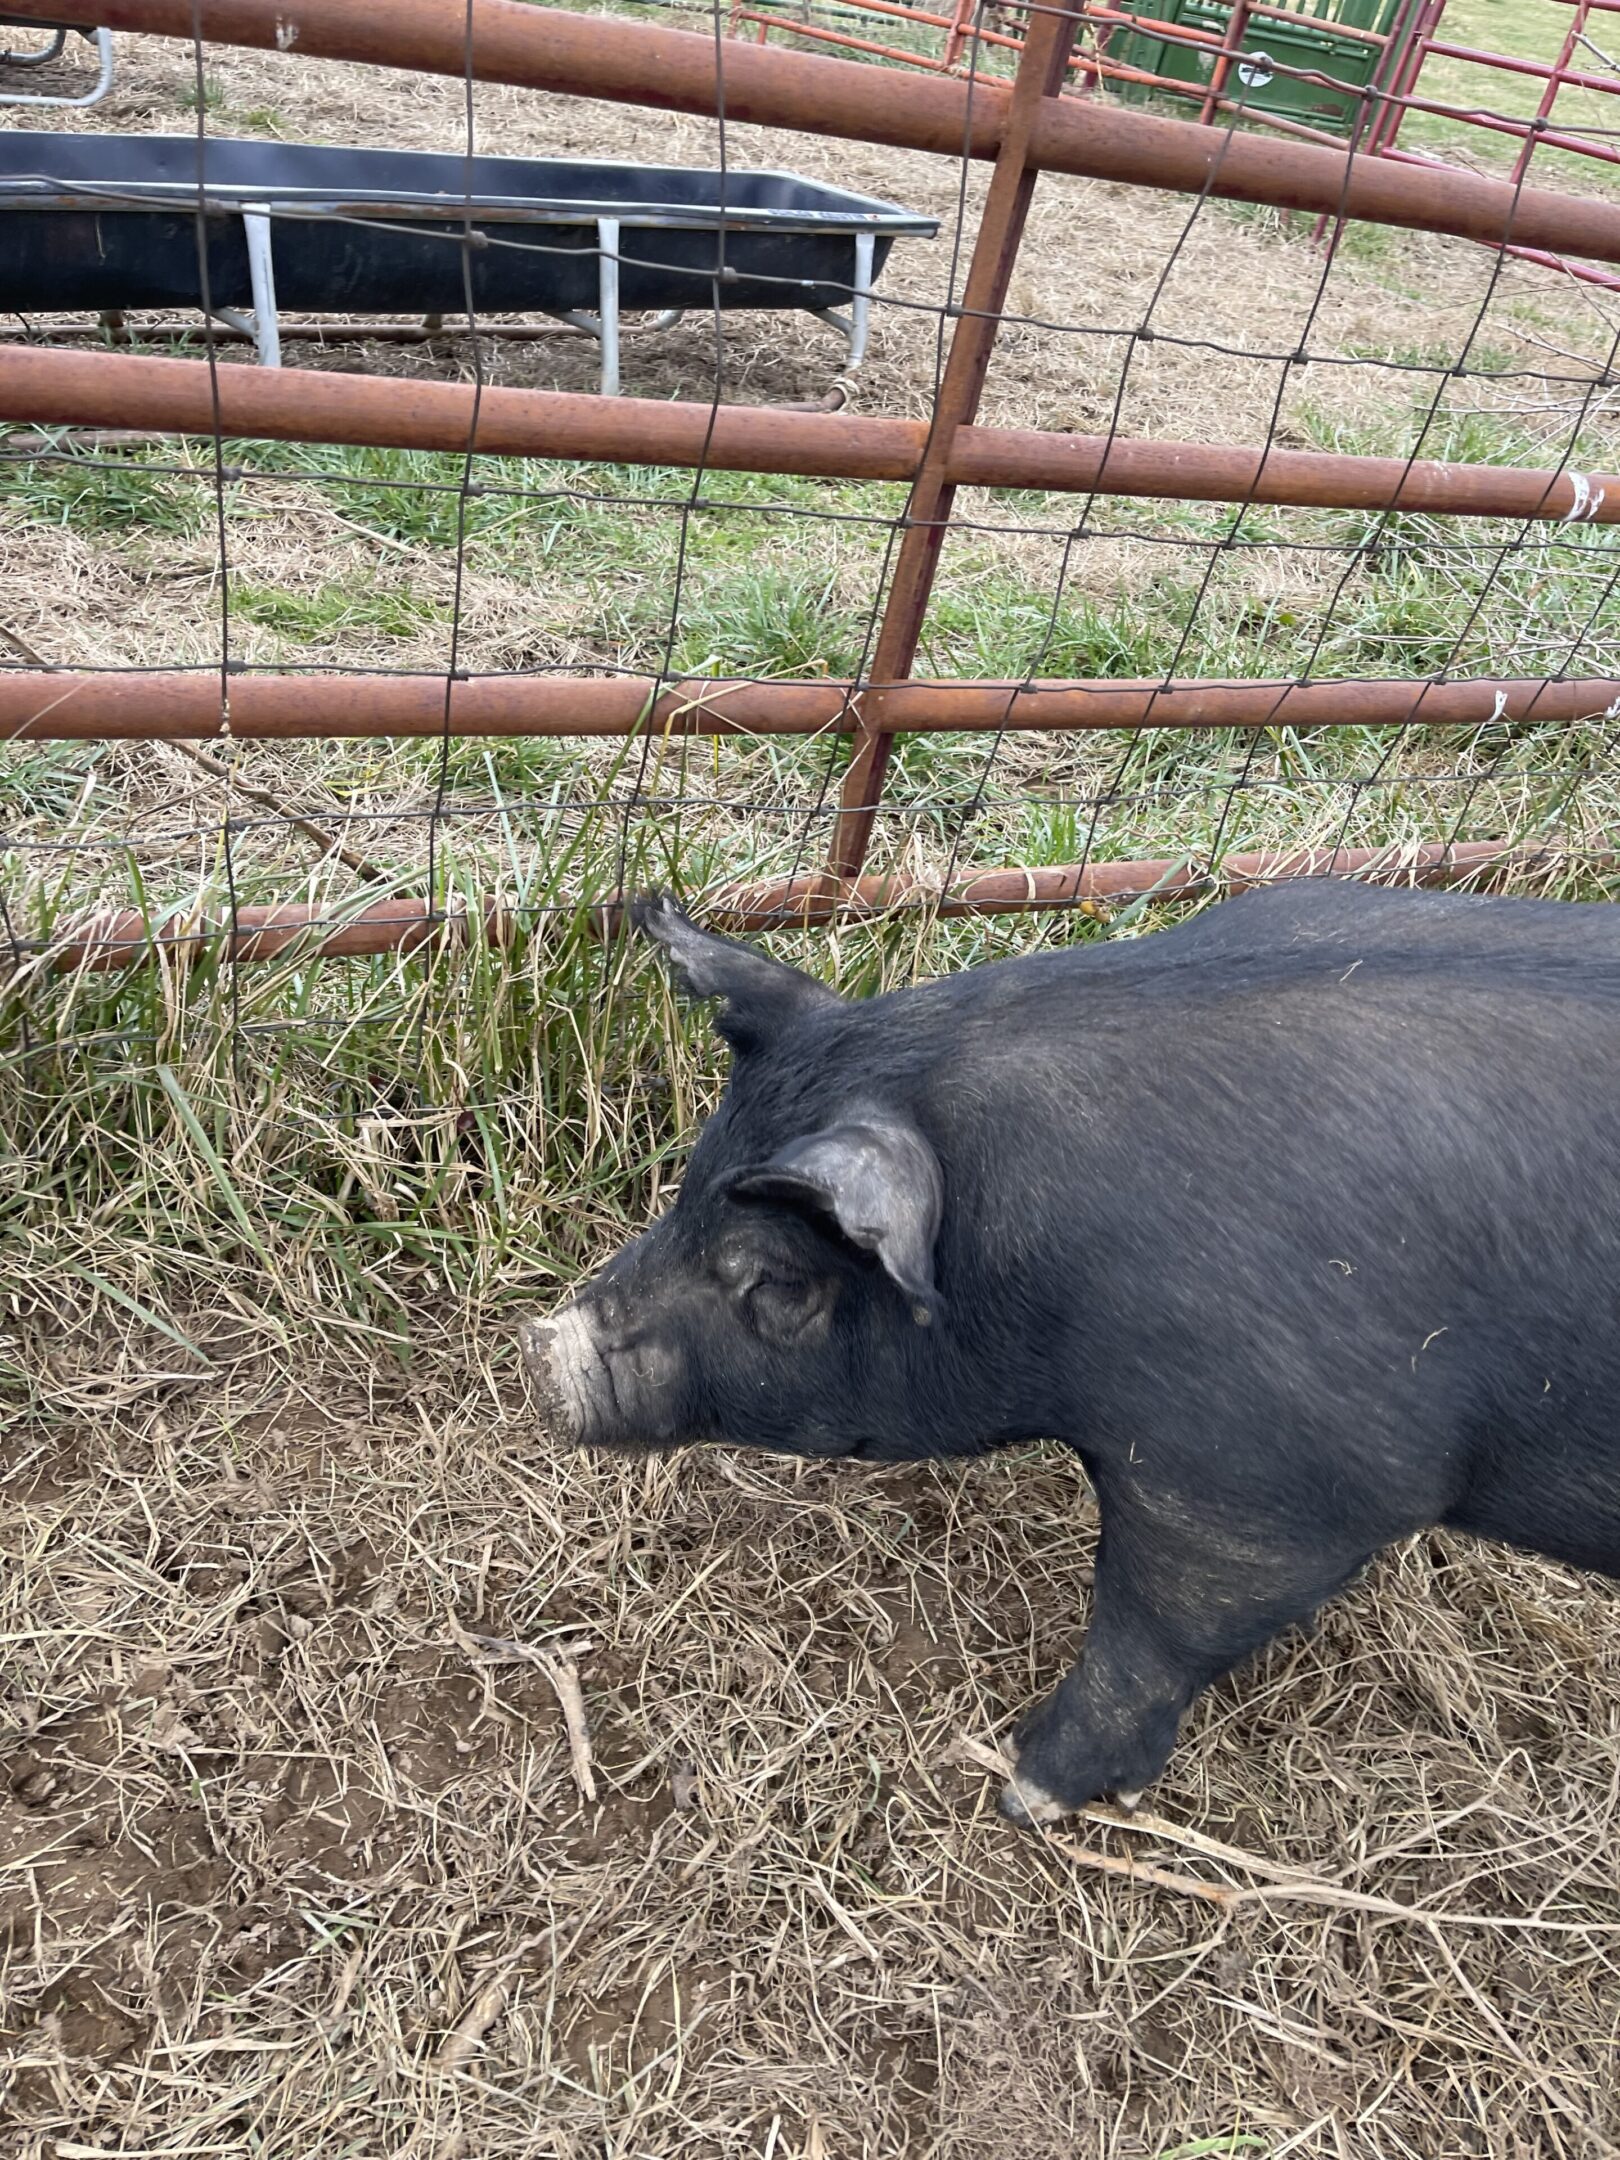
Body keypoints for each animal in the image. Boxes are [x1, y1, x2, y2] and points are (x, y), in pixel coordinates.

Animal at [521, 879, 1620, 1827]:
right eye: (687, 1189)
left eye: (778, 1285)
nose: (546, 1353)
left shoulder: (1276, 1484)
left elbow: (1153, 1634)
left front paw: (1025, 1791)